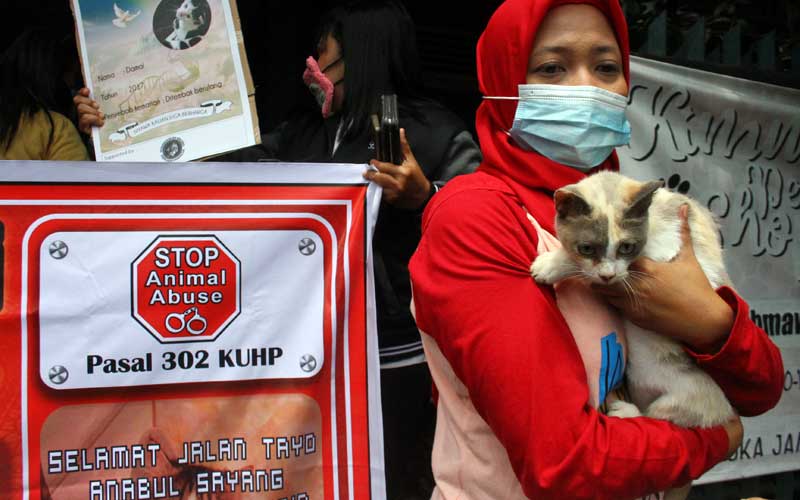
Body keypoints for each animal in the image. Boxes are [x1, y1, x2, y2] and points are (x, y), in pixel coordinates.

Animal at [528, 171, 736, 496]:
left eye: (627, 247)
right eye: (588, 248)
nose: (608, 274)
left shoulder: (662, 257)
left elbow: (588, 273)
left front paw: (551, 265)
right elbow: (587, 270)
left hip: (687, 399)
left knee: (663, 421)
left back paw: (626, 411)